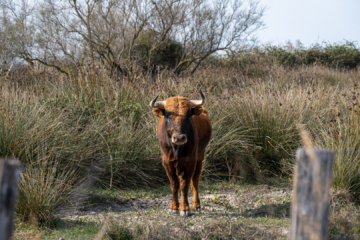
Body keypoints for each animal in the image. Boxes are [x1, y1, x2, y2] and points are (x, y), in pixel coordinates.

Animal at [150, 90, 212, 218]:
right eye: (168, 115)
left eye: (188, 115)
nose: (179, 138)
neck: (177, 148)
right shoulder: (167, 163)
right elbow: (174, 184)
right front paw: (173, 207)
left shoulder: (190, 162)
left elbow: (185, 184)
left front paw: (185, 208)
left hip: (200, 157)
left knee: (195, 180)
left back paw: (196, 204)